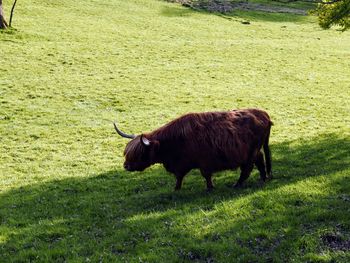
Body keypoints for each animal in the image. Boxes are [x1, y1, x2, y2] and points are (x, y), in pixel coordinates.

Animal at [115, 109, 274, 192]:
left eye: (140, 153)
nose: (126, 166)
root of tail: (264, 114)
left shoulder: (204, 162)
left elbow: (206, 175)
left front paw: (210, 188)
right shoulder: (181, 164)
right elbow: (179, 177)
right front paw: (176, 189)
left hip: (251, 152)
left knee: (248, 168)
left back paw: (238, 184)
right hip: (254, 150)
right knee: (260, 160)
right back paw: (262, 179)